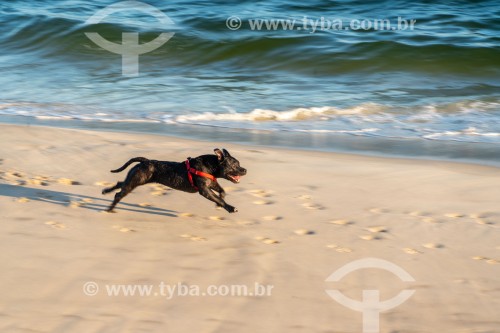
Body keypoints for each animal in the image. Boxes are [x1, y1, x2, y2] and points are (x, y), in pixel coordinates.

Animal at [102, 148, 247, 213]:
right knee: (119, 194)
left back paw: (106, 191)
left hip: (134, 179)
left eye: (239, 164)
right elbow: (219, 198)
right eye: (234, 165)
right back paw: (110, 209)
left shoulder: (212, 183)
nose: (245, 170)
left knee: (120, 184)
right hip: (135, 181)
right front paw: (230, 207)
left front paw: (219, 204)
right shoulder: (205, 190)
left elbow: (222, 192)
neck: (211, 166)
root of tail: (145, 161)